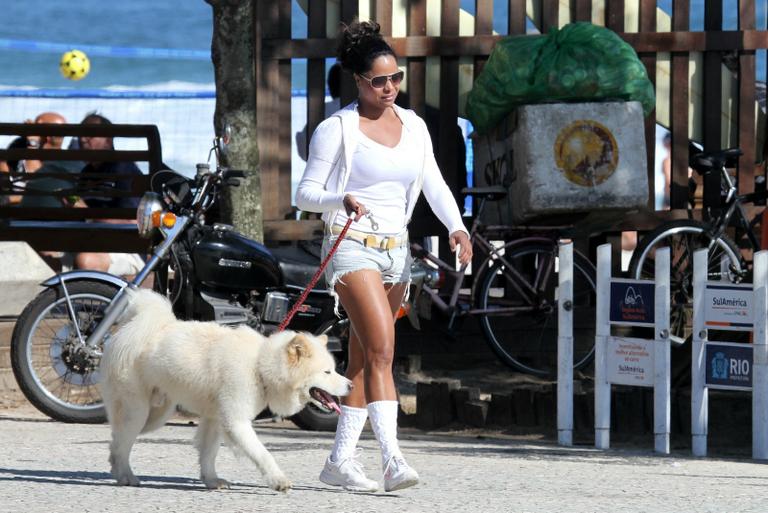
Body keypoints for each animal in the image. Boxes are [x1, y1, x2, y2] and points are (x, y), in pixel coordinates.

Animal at [100, 290, 352, 490]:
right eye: (327, 372)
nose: (351, 385)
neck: (259, 366)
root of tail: (131, 330)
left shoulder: (215, 419)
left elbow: (208, 453)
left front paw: (212, 481)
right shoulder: (236, 422)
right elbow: (262, 453)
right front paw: (278, 480)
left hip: (156, 413)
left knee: (116, 441)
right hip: (138, 412)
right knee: (122, 444)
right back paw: (126, 476)